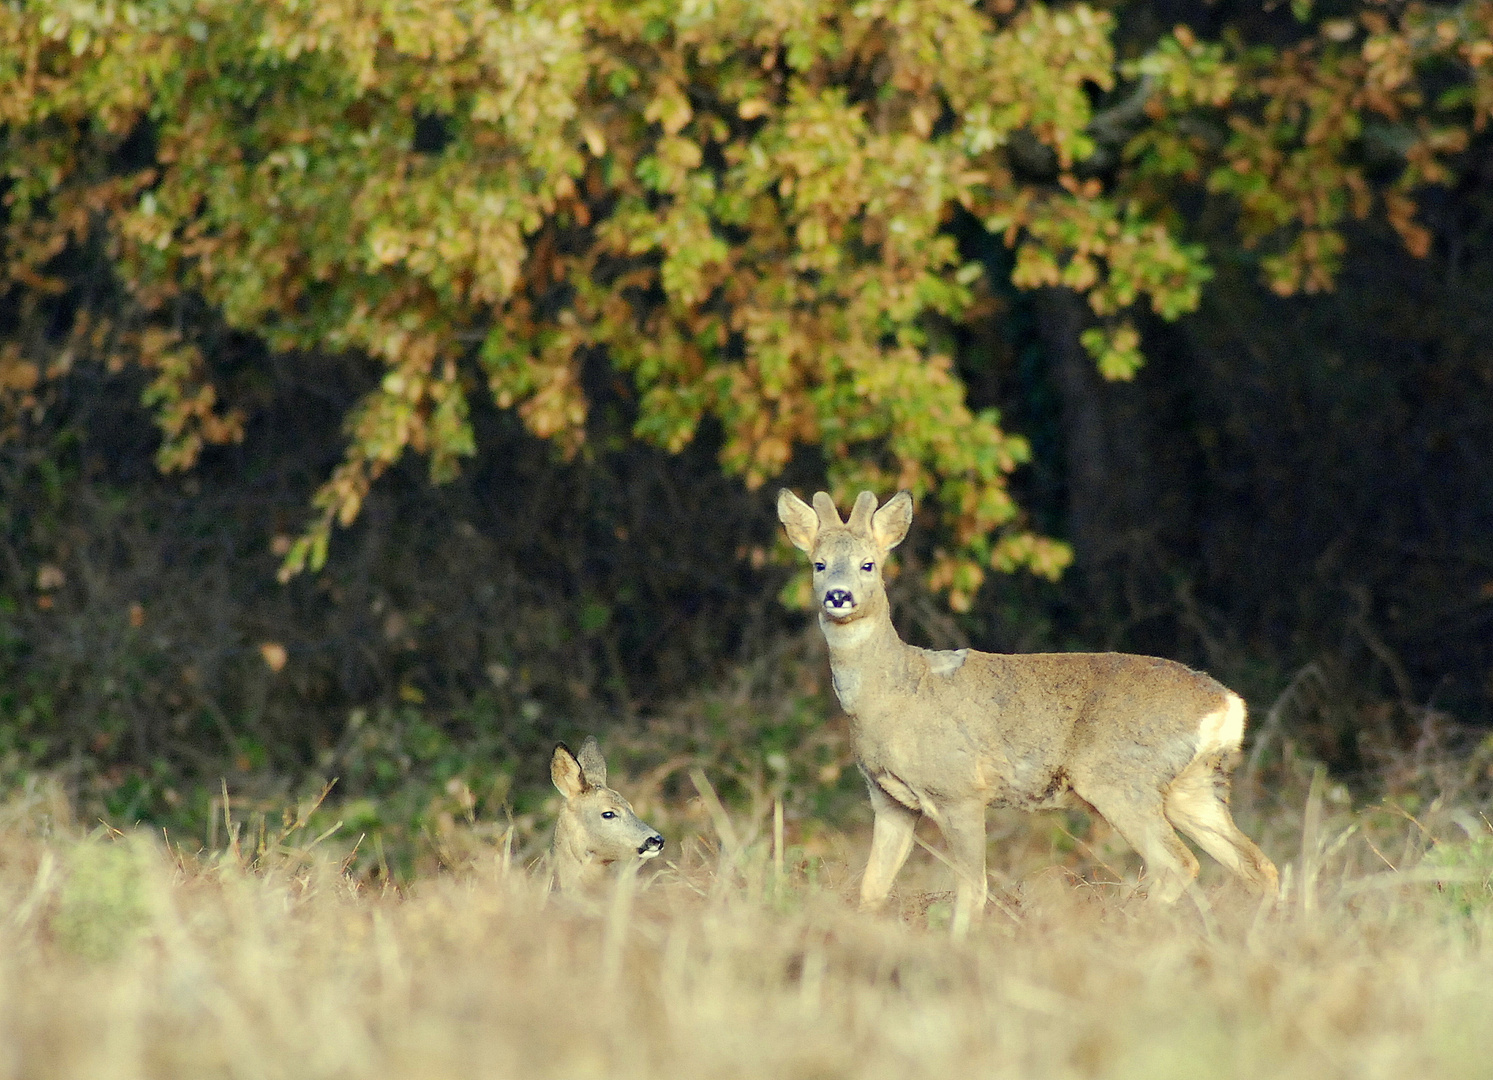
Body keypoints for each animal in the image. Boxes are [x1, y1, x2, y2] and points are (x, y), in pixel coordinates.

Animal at [776, 486, 1278, 932]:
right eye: (819, 564)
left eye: (869, 564)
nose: (838, 596)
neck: (893, 695)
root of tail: (1228, 705)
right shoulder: (890, 800)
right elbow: (872, 889)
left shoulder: (959, 789)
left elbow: (973, 888)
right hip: (1193, 786)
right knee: (1259, 867)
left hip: (1120, 777)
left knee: (1180, 864)